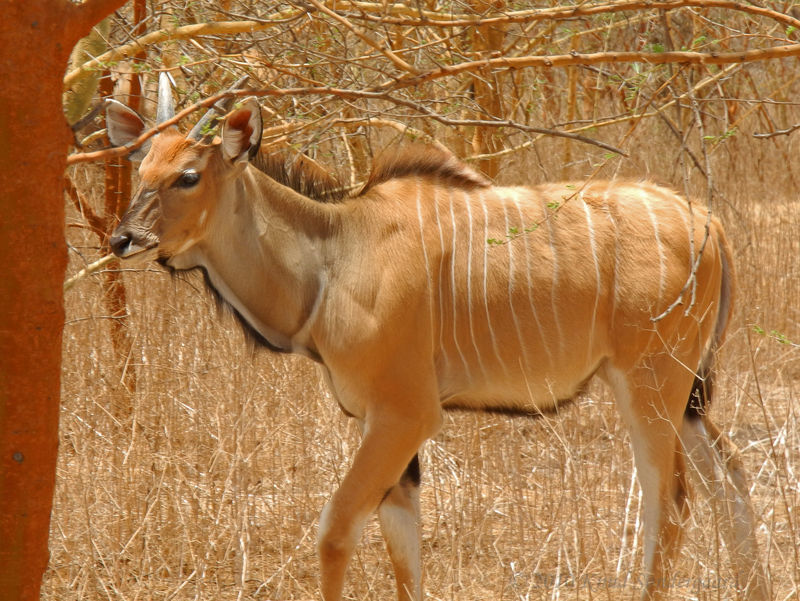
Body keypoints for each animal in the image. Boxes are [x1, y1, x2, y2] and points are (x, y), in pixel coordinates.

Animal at [104, 76, 768, 600]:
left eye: (188, 176)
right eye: (141, 168)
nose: (122, 239)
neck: (334, 253)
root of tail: (708, 223)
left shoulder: (406, 413)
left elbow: (336, 530)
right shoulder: (386, 429)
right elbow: (404, 552)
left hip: (649, 385)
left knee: (672, 502)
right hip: (685, 397)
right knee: (730, 482)